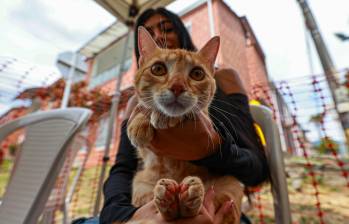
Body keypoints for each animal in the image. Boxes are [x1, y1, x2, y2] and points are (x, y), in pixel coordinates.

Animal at [124, 27, 242, 223]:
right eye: (158, 69)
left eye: (197, 74)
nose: (177, 87)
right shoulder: (145, 152)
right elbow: (143, 109)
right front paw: (139, 124)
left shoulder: (206, 120)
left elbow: (193, 111)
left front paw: (166, 117)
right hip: (140, 185)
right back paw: (170, 200)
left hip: (230, 183)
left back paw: (188, 198)